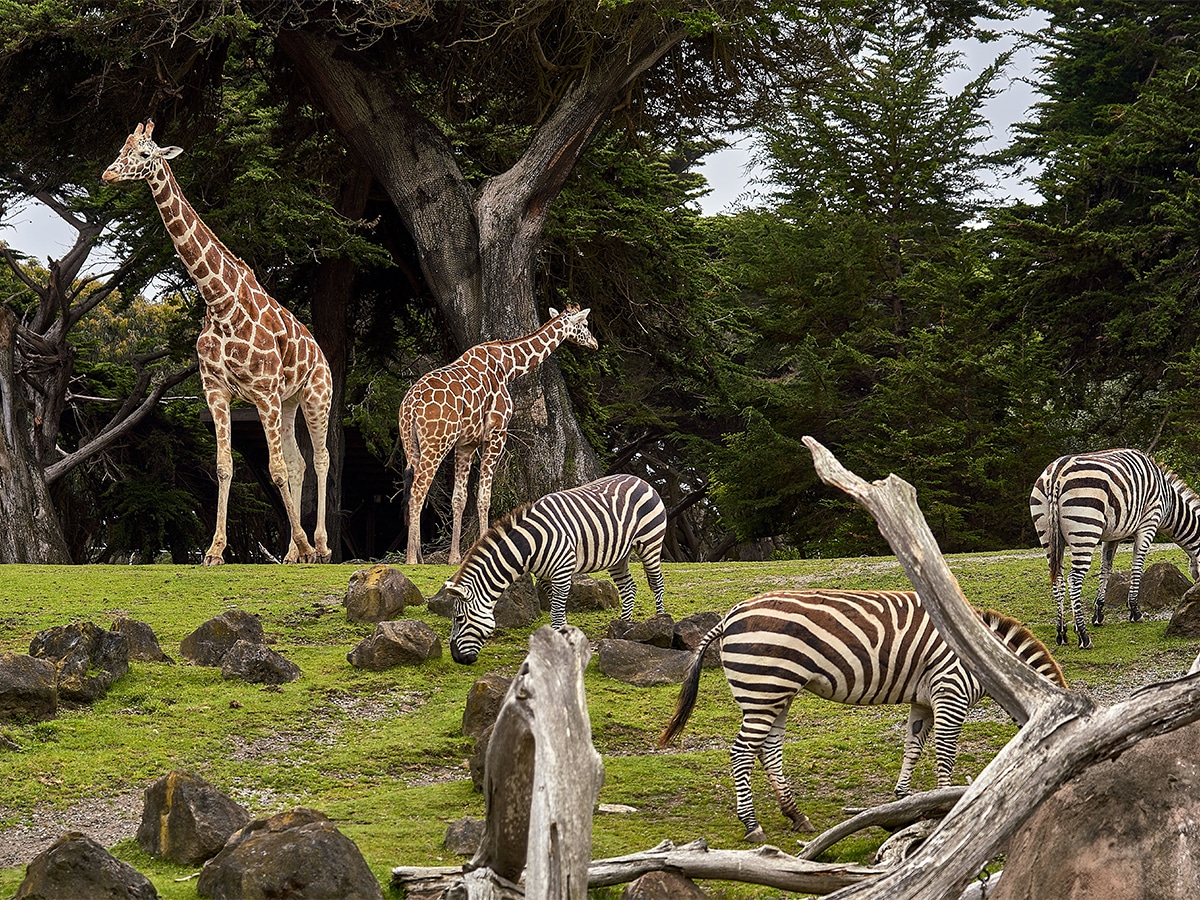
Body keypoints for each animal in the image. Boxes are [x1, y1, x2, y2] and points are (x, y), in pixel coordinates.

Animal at [99, 123, 331, 566]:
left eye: (145, 153)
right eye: (121, 147)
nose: (108, 175)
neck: (219, 300)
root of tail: (321, 354)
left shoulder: (263, 391)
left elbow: (275, 469)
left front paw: (307, 545)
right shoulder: (217, 389)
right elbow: (226, 465)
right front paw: (215, 550)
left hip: (315, 395)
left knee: (320, 458)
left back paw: (320, 546)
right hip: (289, 401)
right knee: (298, 462)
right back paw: (292, 553)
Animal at [403, 307, 600, 566]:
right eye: (584, 324)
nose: (595, 343)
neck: (509, 365)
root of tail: (410, 406)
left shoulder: (467, 443)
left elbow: (459, 498)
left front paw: (455, 557)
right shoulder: (496, 434)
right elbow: (484, 497)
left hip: (412, 445)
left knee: (413, 491)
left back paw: (418, 555)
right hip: (436, 443)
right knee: (418, 491)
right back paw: (411, 559)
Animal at [444, 475, 667, 667]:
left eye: (459, 619)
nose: (456, 658)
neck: (530, 544)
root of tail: (640, 479)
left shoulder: (562, 572)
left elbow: (557, 612)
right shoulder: (544, 576)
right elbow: (556, 607)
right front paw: (563, 637)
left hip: (650, 542)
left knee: (657, 582)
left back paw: (659, 623)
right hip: (618, 555)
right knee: (629, 587)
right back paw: (623, 625)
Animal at [662, 592, 1065, 844]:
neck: (987, 659)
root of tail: (731, 615)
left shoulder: (924, 700)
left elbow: (913, 746)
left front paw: (904, 799)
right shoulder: (950, 692)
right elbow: (945, 754)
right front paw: (946, 804)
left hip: (775, 693)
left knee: (768, 750)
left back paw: (795, 815)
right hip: (764, 687)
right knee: (743, 752)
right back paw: (752, 824)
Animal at [1027, 448, 1200, 648]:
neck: (1169, 503)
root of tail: (1056, 473)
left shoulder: (1112, 535)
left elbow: (1106, 569)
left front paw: (1098, 614)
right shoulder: (1148, 523)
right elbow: (1137, 567)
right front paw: (1135, 611)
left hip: (1048, 534)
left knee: (1058, 579)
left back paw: (1061, 633)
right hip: (1085, 528)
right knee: (1074, 579)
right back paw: (1083, 636)